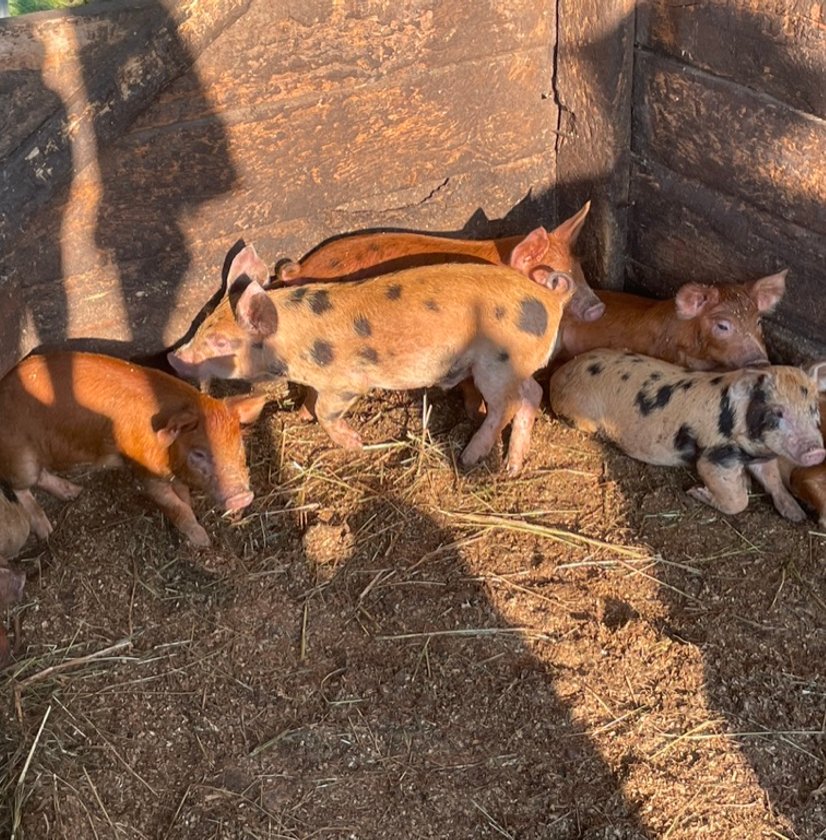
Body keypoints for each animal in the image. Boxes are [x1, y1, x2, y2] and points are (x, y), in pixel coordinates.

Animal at [0, 352, 265, 547]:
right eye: (198, 453)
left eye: (238, 445)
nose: (242, 497)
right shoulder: (142, 468)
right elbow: (175, 507)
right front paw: (202, 541)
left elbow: (184, 498)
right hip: (21, 457)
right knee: (19, 485)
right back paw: (47, 530)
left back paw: (74, 492)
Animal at [170, 260, 576, 476]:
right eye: (203, 325)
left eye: (221, 343)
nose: (173, 357)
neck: (295, 345)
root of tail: (549, 297)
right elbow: (311, 403)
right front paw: (299, 415)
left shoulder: (349, 381)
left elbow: (325, 409)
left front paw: (356, 443)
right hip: (515, 367)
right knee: (532, 393)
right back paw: (512, 466)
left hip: (497, 363)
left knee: (507, 404)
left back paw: (468, 457)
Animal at [549, 349, 826, 520]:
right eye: (778, 412)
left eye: (813, 409)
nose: (817, 451)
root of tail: (559, 374)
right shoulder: (714, 457)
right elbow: (737, 501)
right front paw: (695, 491)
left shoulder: (762, 455)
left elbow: (773, 480)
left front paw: (797, 515)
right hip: (583, 417)